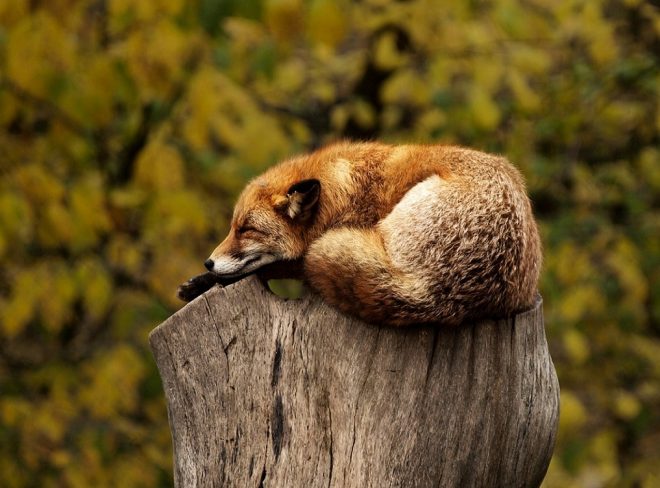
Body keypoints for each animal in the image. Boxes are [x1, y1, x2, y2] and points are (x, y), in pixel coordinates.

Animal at [178, 141, 542, 327]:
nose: (208, 262)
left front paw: (206, 281)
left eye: (247, 230)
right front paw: (200, 281)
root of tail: (439, 295)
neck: (344, 191)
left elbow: (278, 266)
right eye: (232, 227)